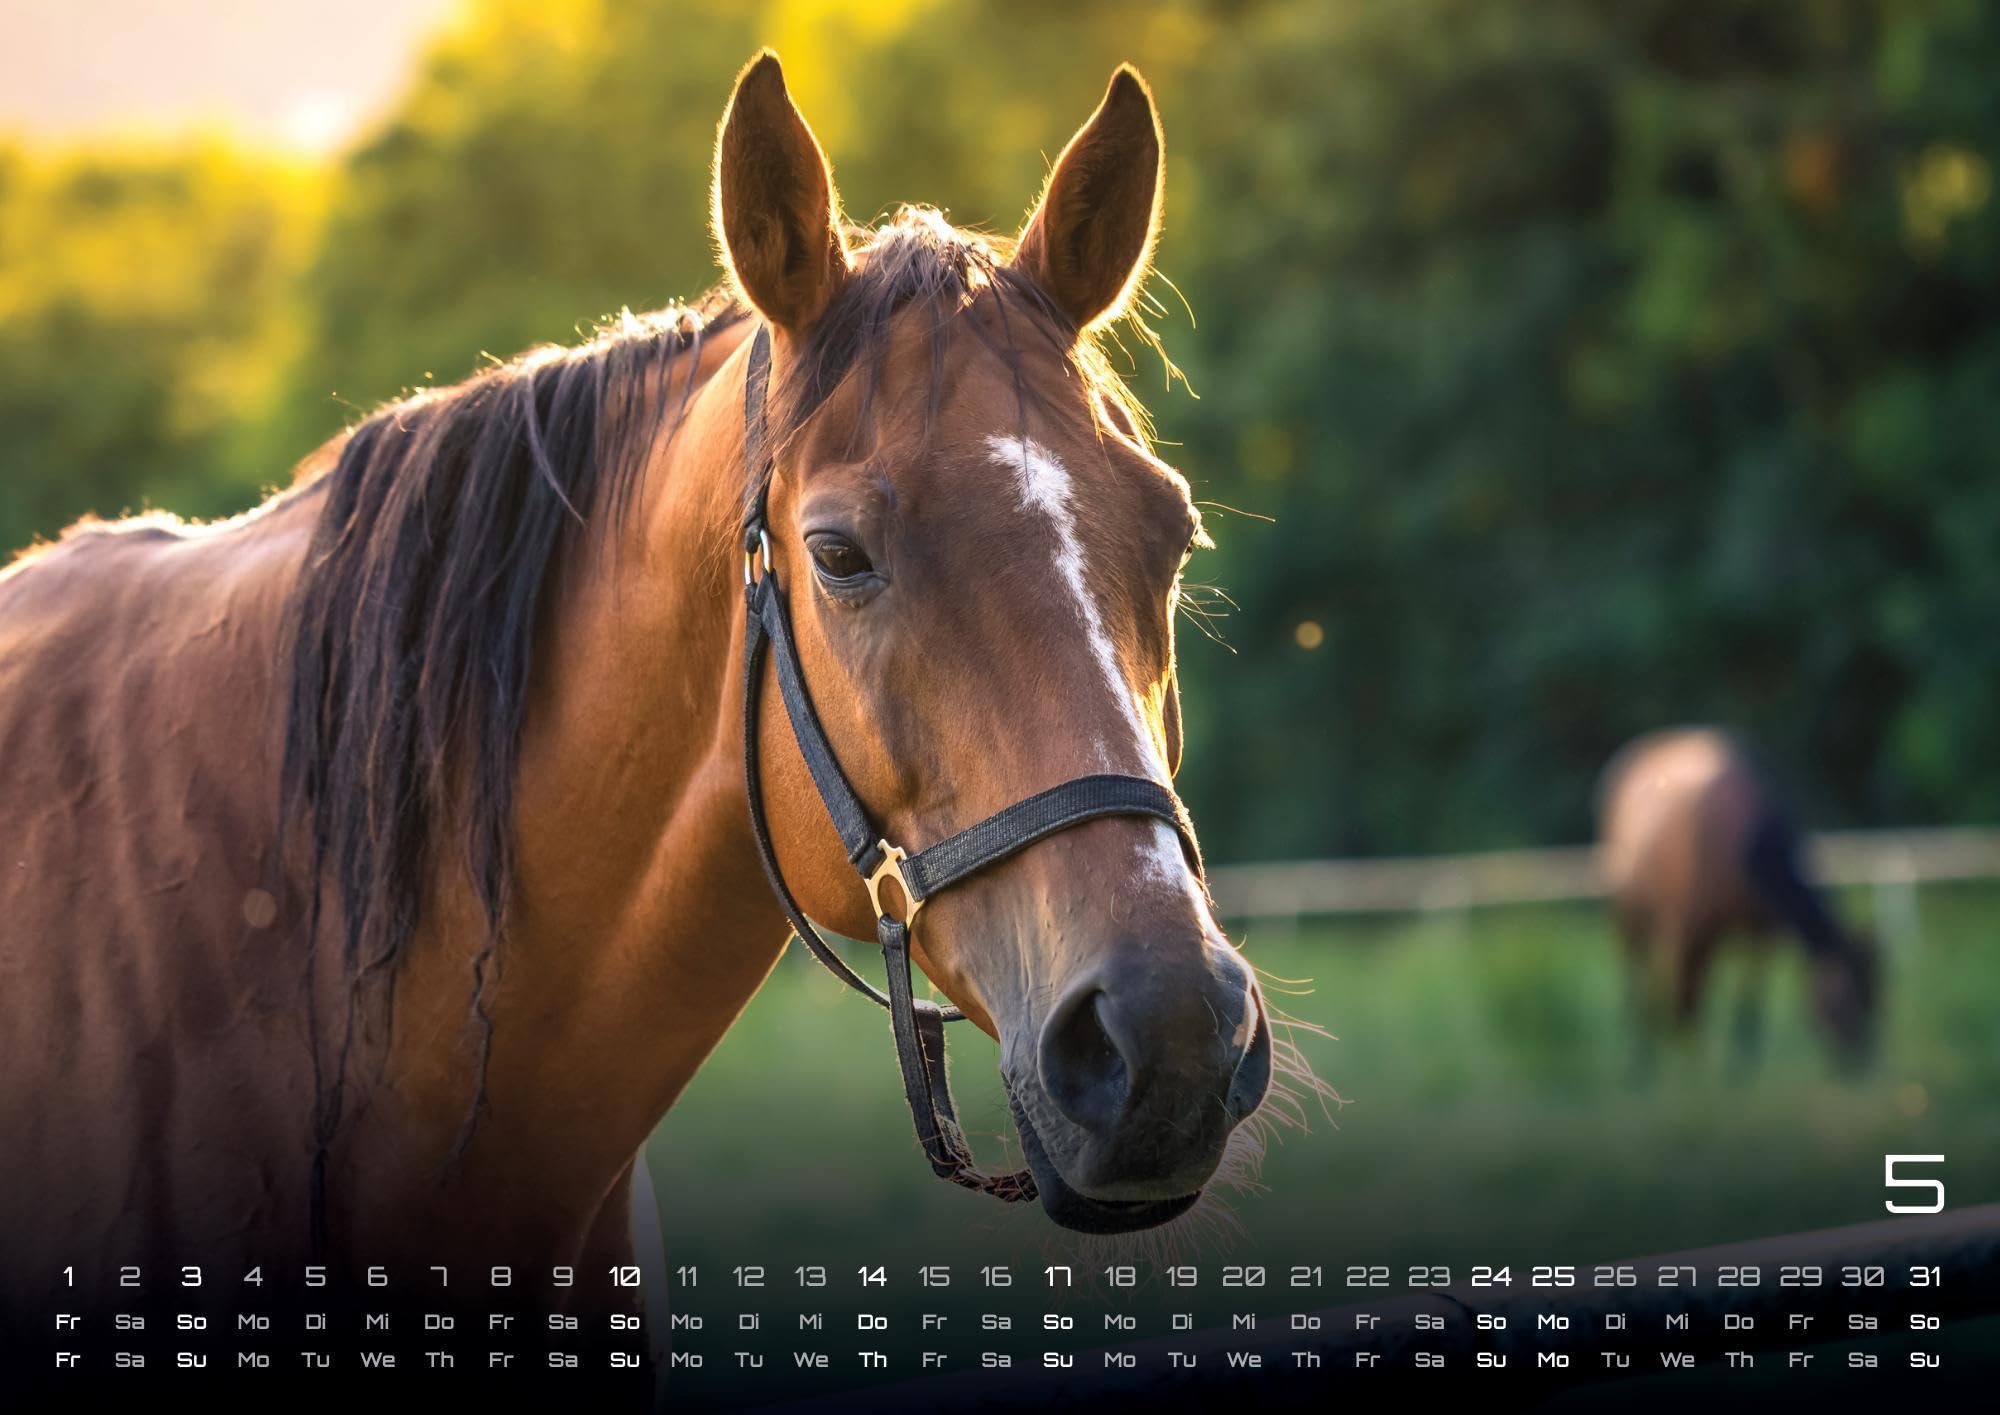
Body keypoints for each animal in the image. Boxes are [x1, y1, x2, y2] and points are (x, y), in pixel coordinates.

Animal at [1596, 727, 1878, 1071]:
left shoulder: (1762, 937)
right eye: (1844, 1003)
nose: (1862, 1065)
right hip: (1631, 916)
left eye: (1877, 1001)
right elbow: (1686, 1006)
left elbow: (1749, 1006)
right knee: (1638, 982)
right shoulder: (1692, 932)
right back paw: (1640, 1060)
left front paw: (1742, 1067)